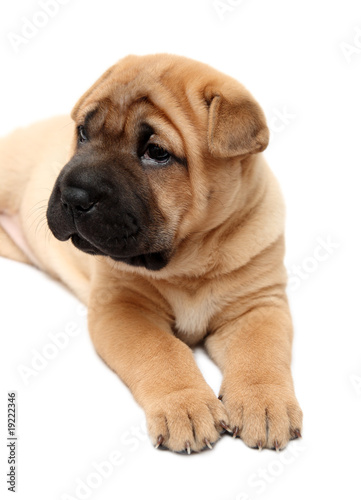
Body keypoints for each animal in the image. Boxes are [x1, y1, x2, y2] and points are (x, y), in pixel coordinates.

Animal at [0, 53, 300, 454]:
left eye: (156, 153)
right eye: (83, 133)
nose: (75, 196)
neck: (190, 261)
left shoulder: (258, 305)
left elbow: (262, 352)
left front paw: (265, 404)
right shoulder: (123, 306)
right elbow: (162, 351)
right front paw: (186, 406)